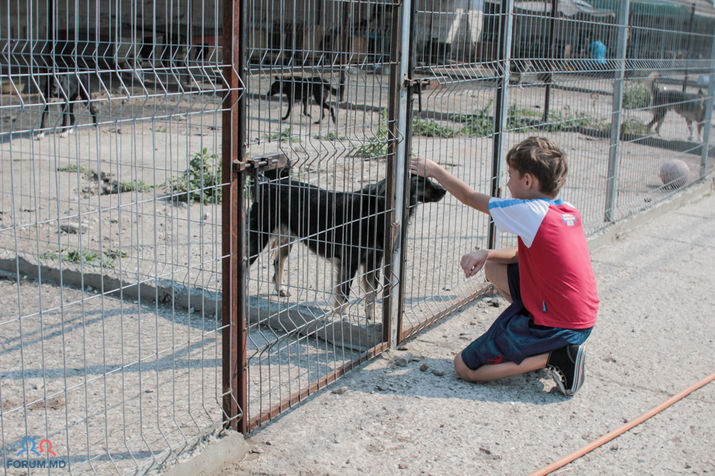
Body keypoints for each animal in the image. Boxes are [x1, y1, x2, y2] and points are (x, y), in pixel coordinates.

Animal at [249, 166, 444, 320]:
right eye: (420, 180)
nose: (443, 190)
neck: (376, 210)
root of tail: (268, 184)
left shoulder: (373, 261)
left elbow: (371, 292)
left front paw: (370, 318)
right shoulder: (349, 261)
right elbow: (344, 293)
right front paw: (339, 317)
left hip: (286, 240)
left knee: (277, 262)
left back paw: (280, 288)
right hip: (257, 240)